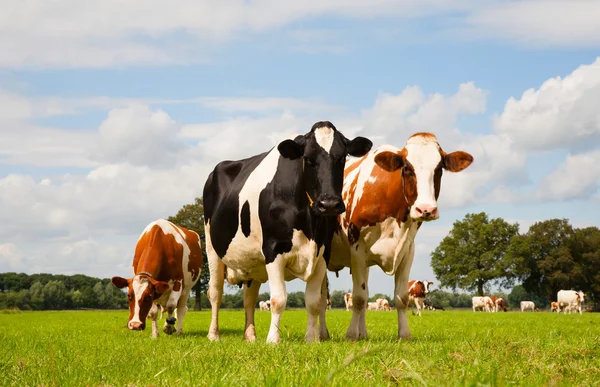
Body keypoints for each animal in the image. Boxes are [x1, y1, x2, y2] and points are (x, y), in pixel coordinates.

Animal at [204, 122, 370, 346]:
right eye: (308, 158)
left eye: (342, 157)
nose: (329, 204)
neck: (309, 222)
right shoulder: (273, 249)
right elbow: (278, 299)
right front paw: (273, 339)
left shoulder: (322, 253)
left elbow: (313, 301)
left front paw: (311, 338)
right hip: (212, 248)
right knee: (215, 293)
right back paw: (214, 334)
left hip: (253, 263)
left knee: (249, 298)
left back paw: (250, 336)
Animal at [326, 134, 472, 342]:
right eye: (407, 168)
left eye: (439, 168)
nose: (426, 209)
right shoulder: (357, 248)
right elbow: (359, 298)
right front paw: (351, 335)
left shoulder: (407, 250)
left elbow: (400, 298)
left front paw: (404, 334)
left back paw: (362, 333)